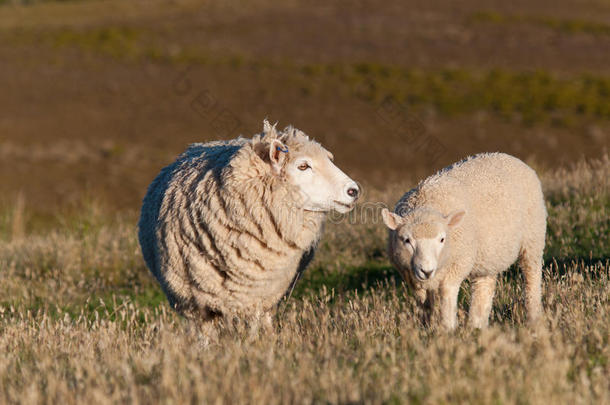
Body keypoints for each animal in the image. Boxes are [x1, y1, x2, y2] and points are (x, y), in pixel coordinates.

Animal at [380, 152, 548, 328]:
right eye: (407, 240)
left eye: (442, 239)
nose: (426, 270)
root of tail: (510, 157)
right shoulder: (411, 277)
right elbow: (424, 303)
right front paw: (427, 327)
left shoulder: (456, 266)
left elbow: (447, 295)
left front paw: (447, 328)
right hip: (488, 255)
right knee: (484, 285)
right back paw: (477, 325)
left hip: (533, 238)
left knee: (531, 276)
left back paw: (534, 318)